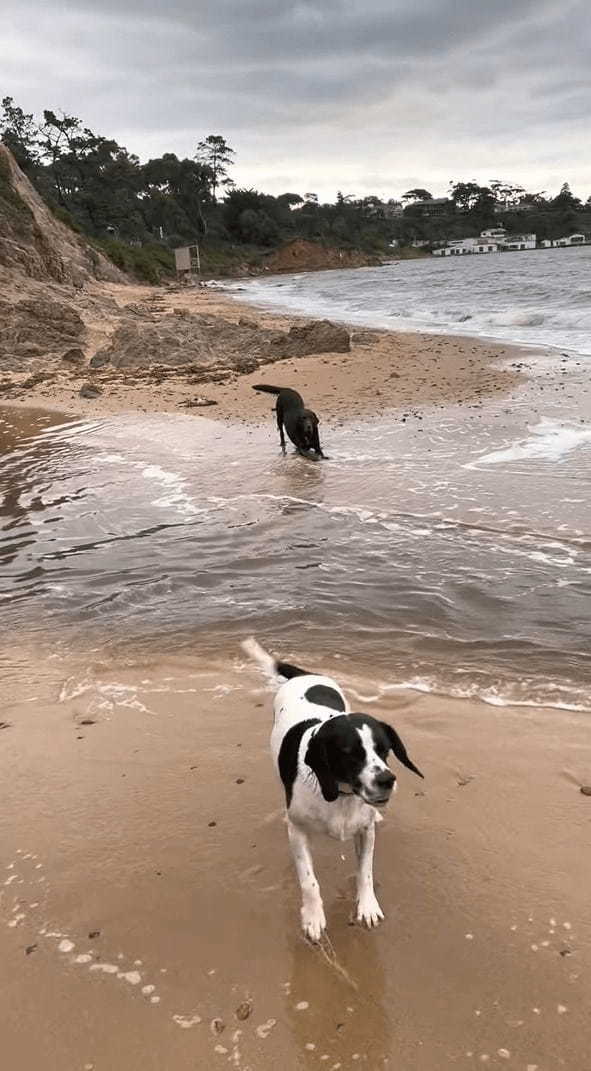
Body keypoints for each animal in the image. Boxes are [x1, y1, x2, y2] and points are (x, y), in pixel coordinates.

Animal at [241, 638, 421, 942]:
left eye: (385, 749)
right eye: (350, 754)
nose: (387, 779)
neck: (341, 794)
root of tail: (304, 675)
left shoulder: (365, 832)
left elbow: (365, 872)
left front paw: (367, 905)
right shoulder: (299, 832)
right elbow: (309, 881)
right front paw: (313, 917)